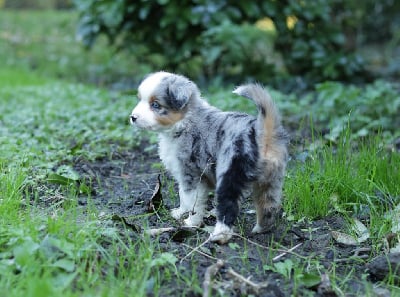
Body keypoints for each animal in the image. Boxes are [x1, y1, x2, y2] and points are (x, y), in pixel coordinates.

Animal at [130, 71, 290, 243]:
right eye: (140, 99)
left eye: (156, 105)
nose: (133, 117)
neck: (185, 120)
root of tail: (261, 133)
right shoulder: (184, 175)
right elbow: (182, 195)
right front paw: (179, 212)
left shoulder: (191, 174)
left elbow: (192, 200)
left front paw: (190, 222)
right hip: (271, 181)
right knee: (268, 205)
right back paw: (261, 229)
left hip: (229, 174)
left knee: (228, 207)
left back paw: (219, 236)